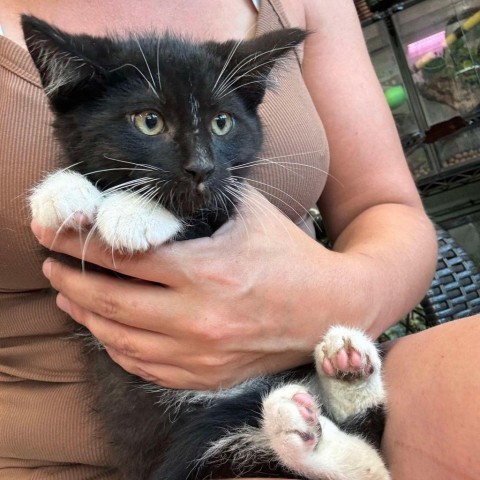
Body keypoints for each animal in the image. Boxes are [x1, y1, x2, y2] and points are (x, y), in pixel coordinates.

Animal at [23, 15, 390, 480]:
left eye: (222, 123)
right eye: (149, 121)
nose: (201, 167)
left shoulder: (228, 192)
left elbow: (208, 207)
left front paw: (133, 212)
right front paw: (61, 192)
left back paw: (331, 396)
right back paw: (327, 398)